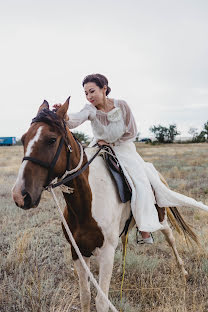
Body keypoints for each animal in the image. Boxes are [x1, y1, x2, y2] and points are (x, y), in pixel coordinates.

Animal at [12, 98, 198, 310]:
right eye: (23, 139)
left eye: (51, 140)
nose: (20, 195)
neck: (86, 205)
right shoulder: (77, 251)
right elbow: (85, 295)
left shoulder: (106, 252)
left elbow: (101, 301)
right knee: (125, 239)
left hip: (161, 219)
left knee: (171, 238)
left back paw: (183, 272)